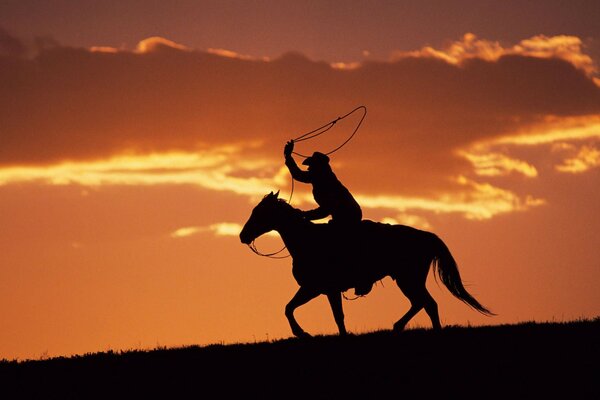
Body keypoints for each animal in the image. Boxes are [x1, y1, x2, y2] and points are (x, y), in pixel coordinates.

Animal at [237, 191, 494, 338]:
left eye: (259, 212)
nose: (242, 235)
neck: (308, 241)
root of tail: (425, 236)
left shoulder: (322, 289)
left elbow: (333, 315)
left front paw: (304, 333)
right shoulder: (315, 289)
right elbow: (290, 308)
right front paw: (304, 333)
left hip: (408, 279)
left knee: (427, 303)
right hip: (407, 280)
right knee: (422, 303)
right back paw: (400, 326)